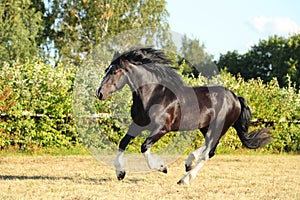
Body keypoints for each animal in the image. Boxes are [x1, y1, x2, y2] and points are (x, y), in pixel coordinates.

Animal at [96, 46, 272, 184]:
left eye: (115, 72)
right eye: (106, 70)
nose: (99, 93)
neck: (153, 95)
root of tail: (236, 97)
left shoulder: (162, 128)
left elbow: (144, 146)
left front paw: (162, 167)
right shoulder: (138, 124)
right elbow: (123, 142)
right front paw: (120, 173)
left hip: (219, 127)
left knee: (208, 152)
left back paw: (185, 178)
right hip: (206, 127)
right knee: (209, 148)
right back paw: (189, 162)